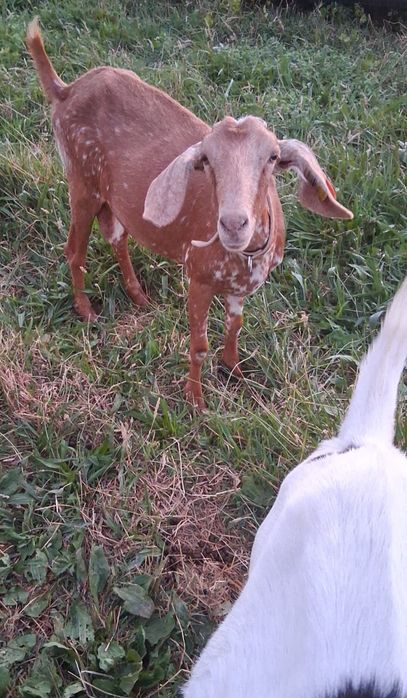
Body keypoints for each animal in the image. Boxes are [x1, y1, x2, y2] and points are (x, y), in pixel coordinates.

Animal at [26, 19, 353, 409]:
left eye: (273, 157)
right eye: (206, 160)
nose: (233, 224)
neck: (246, 256)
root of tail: (66, 90)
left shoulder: (238, 288)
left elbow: (235, 327)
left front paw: (235, 372)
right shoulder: (198, 276)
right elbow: (199, 344)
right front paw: (196, 401)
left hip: (109, 196)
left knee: (116, 236)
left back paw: (139, 297)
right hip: (81, 181)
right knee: (74, 249)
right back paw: (87, 310)